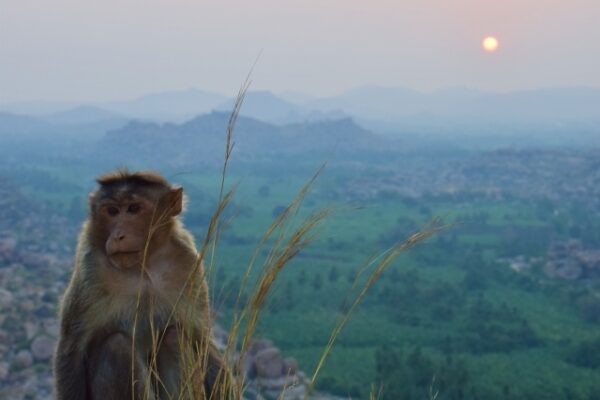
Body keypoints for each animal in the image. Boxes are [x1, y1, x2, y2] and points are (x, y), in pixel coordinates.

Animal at [54, 170, 237, 400]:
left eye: (134, 209)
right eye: (112, 211)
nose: (118, 235)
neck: (143, 266)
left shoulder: (187, 263)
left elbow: (201, 339)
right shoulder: (90, 269)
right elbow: (72, 350)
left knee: (174, 337)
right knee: (116, 346)